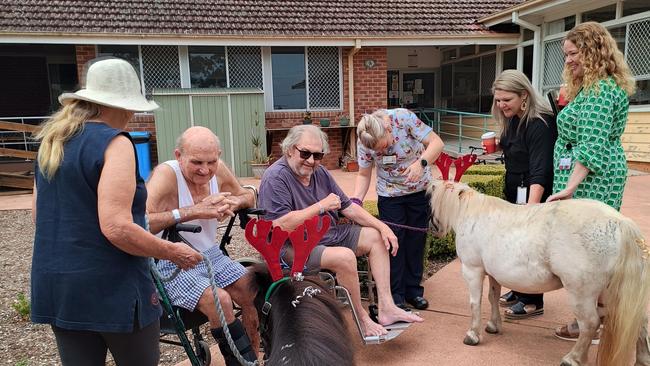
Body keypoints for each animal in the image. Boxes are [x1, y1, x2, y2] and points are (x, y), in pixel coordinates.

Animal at [428, 180, 648, 366]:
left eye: (429, 202)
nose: (433, 229)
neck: (473, 214)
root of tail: (620, 223)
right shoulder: (493, 274)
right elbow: (492, 297)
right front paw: (493, 325)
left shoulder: (472, 270)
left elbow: (475, 303)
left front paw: (473, 335)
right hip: (613, 291)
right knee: (640, 323)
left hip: (581, 293)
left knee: (590, 323)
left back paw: (572, 358)